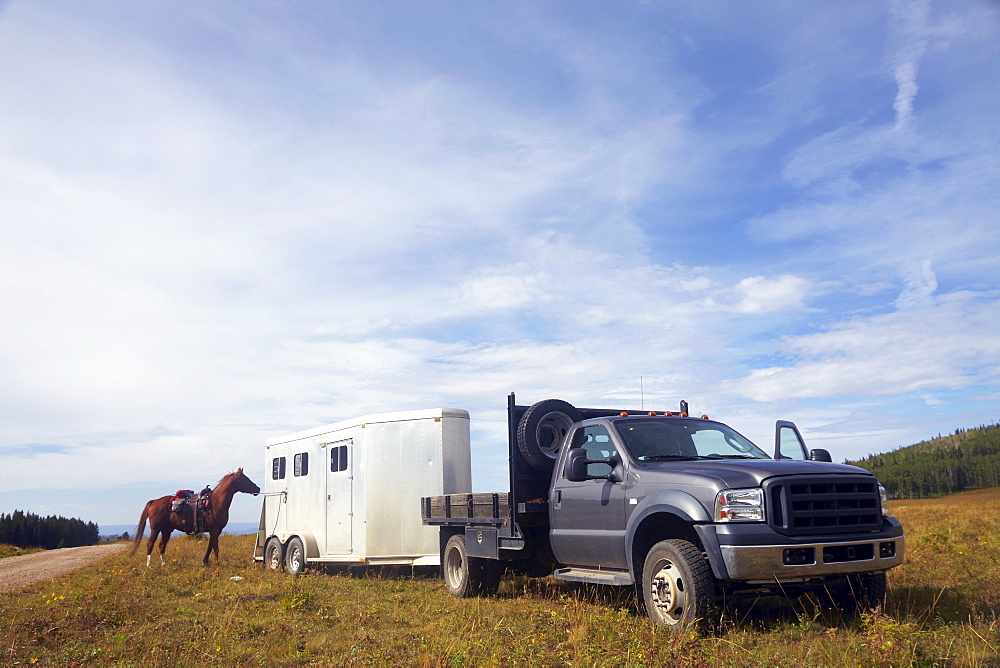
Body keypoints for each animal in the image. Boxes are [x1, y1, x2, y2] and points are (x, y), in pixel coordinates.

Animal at [131, 468, 260, 568]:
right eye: (245, 479)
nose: (258, 489)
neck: (215, 502)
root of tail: (154, 502)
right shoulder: (214, 530)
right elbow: (215, 547)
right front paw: (217, 564)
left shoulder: (216, 531)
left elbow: (210, 546)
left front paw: (206, 562)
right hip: (155, 529)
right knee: (150, 544)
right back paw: (149, 565)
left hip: (166, 530)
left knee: (162, 545)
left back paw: (164, 564)